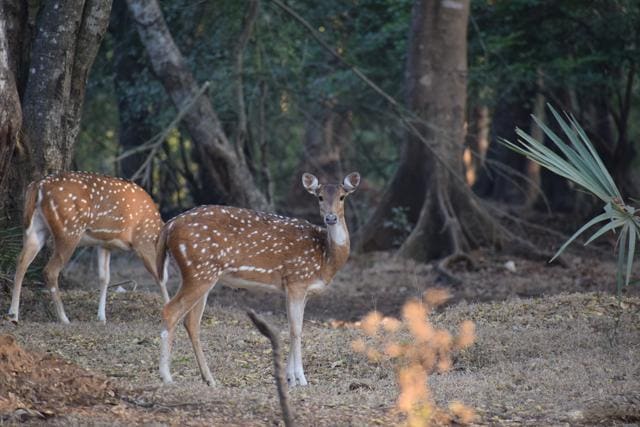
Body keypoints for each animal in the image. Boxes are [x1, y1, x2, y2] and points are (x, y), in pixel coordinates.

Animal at [8, 171, 170, 324]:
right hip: (69, 230)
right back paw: (64, 318)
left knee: (21, 262)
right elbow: (160, 277)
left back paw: (13, 315)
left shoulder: (104, 244)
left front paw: (101, 317)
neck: (155, 229)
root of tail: (37, 185)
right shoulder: (143, 241)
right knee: (50, 270)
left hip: (35, 229)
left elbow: (104, 278)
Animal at [155, 172, 360, 387]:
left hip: (200, 274)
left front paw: (289, 378)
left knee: (191, 322)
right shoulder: (297, 280)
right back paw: (167, 377)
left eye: (342, 197)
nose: (331, 218)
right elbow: (296, 330)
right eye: (319, 197)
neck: (325, 258)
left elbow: (293, 328)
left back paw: (209, 379)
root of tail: (168, 226)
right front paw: (301, 379)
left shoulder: (301, 290)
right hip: (199, 271)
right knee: (171, 311)